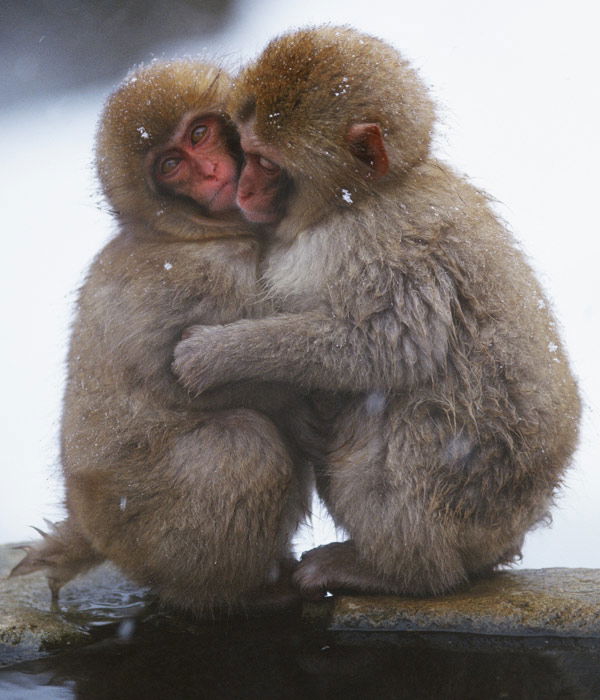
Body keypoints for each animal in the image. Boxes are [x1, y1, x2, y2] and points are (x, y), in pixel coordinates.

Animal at [10, 59, 316, 615]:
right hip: (148, 529)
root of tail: (89, 527)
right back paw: (238, 591)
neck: (189, 232)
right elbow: (193, 376)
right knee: (242, 445)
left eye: (199, 134)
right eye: (172, 164)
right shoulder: (206, 275)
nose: (212, 173)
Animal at [172, 27, 581, 598]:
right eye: (244, 152)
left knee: (400, 421)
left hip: (463, 495)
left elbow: (392, 347)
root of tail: (510, 528)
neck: (358, 200)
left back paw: (399, 571)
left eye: (267, 163)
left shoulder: (386, 245)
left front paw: (218, 354)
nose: (243, 188)